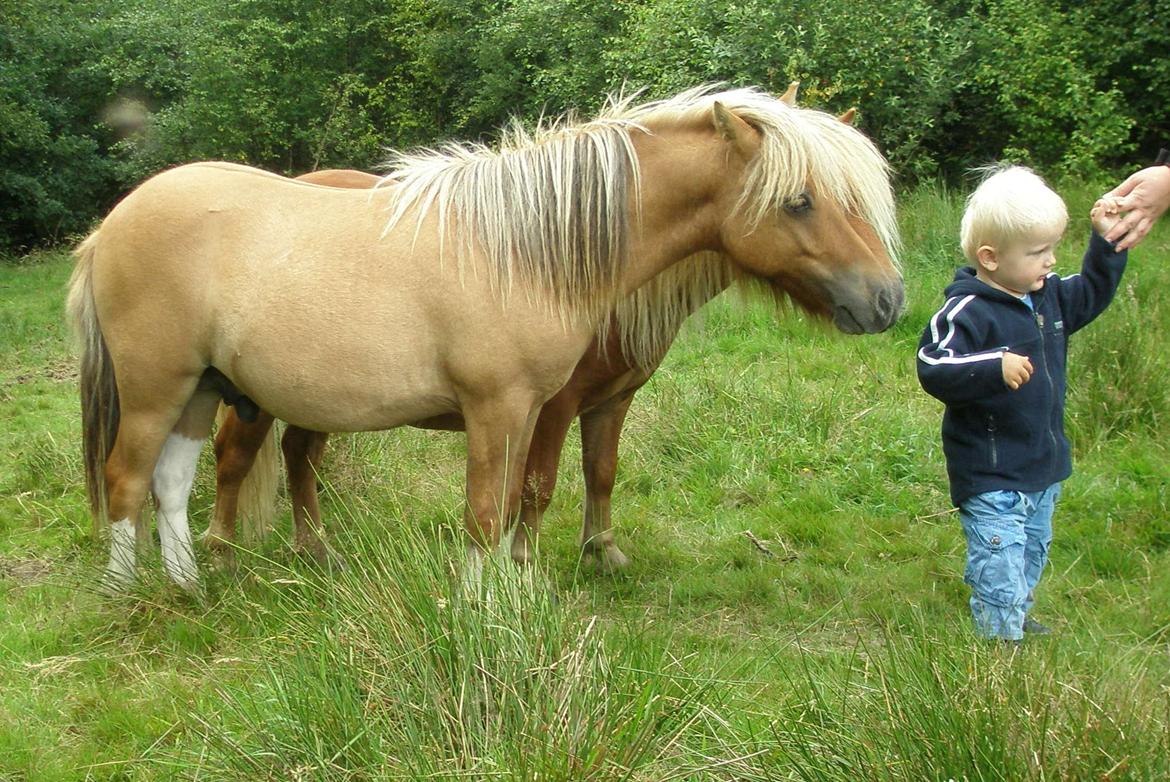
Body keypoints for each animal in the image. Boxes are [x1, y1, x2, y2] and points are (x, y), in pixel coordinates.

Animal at [68, 82, 903, 590]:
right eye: (798, 201)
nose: (887, 299)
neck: (529, 251)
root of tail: (112, 225)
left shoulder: (538, 409)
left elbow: (530, 496)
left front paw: (515, 586)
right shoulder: (502, 409)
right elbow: (492, 510)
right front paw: (484, 610)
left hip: (202, 389)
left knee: (173, 482)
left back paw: (190, 584)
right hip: (156, 389)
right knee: (129, 479)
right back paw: (133, 594)